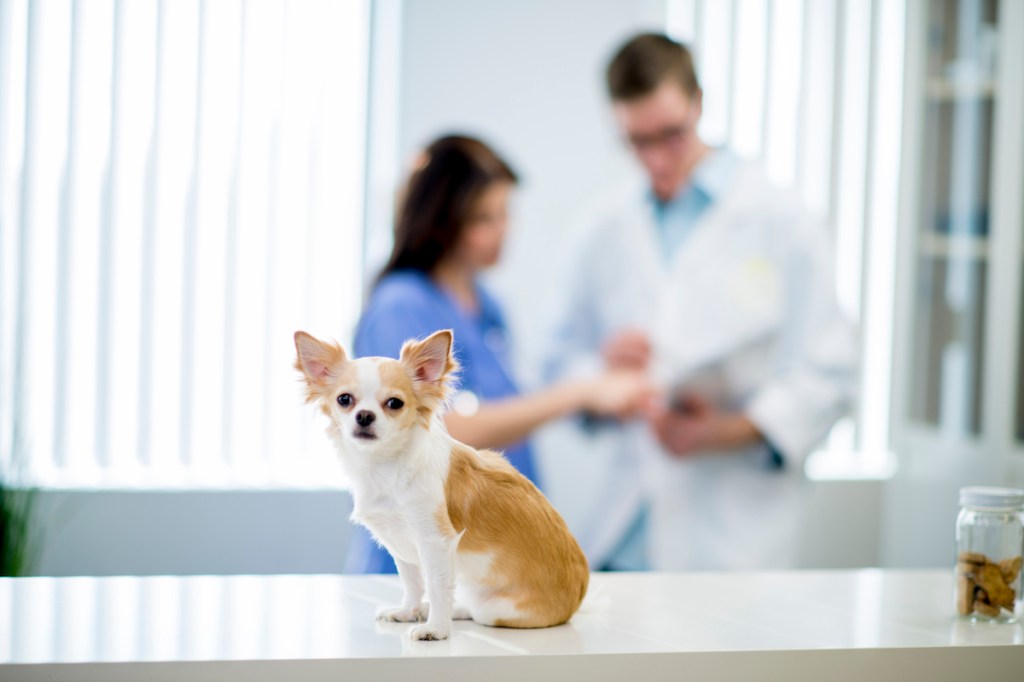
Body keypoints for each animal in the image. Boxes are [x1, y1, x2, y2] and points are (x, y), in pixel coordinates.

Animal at [292, 327, 589, 638]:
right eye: (344, 400)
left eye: (394, 403)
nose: (364, 415)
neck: (385, 465)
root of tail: (576, 598)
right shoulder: (400, 543)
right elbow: (412, 582)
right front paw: (408, 611)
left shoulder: (435, 541)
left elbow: (437, 587)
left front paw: (435, 629)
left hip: (495, 609)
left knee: (476, 610)